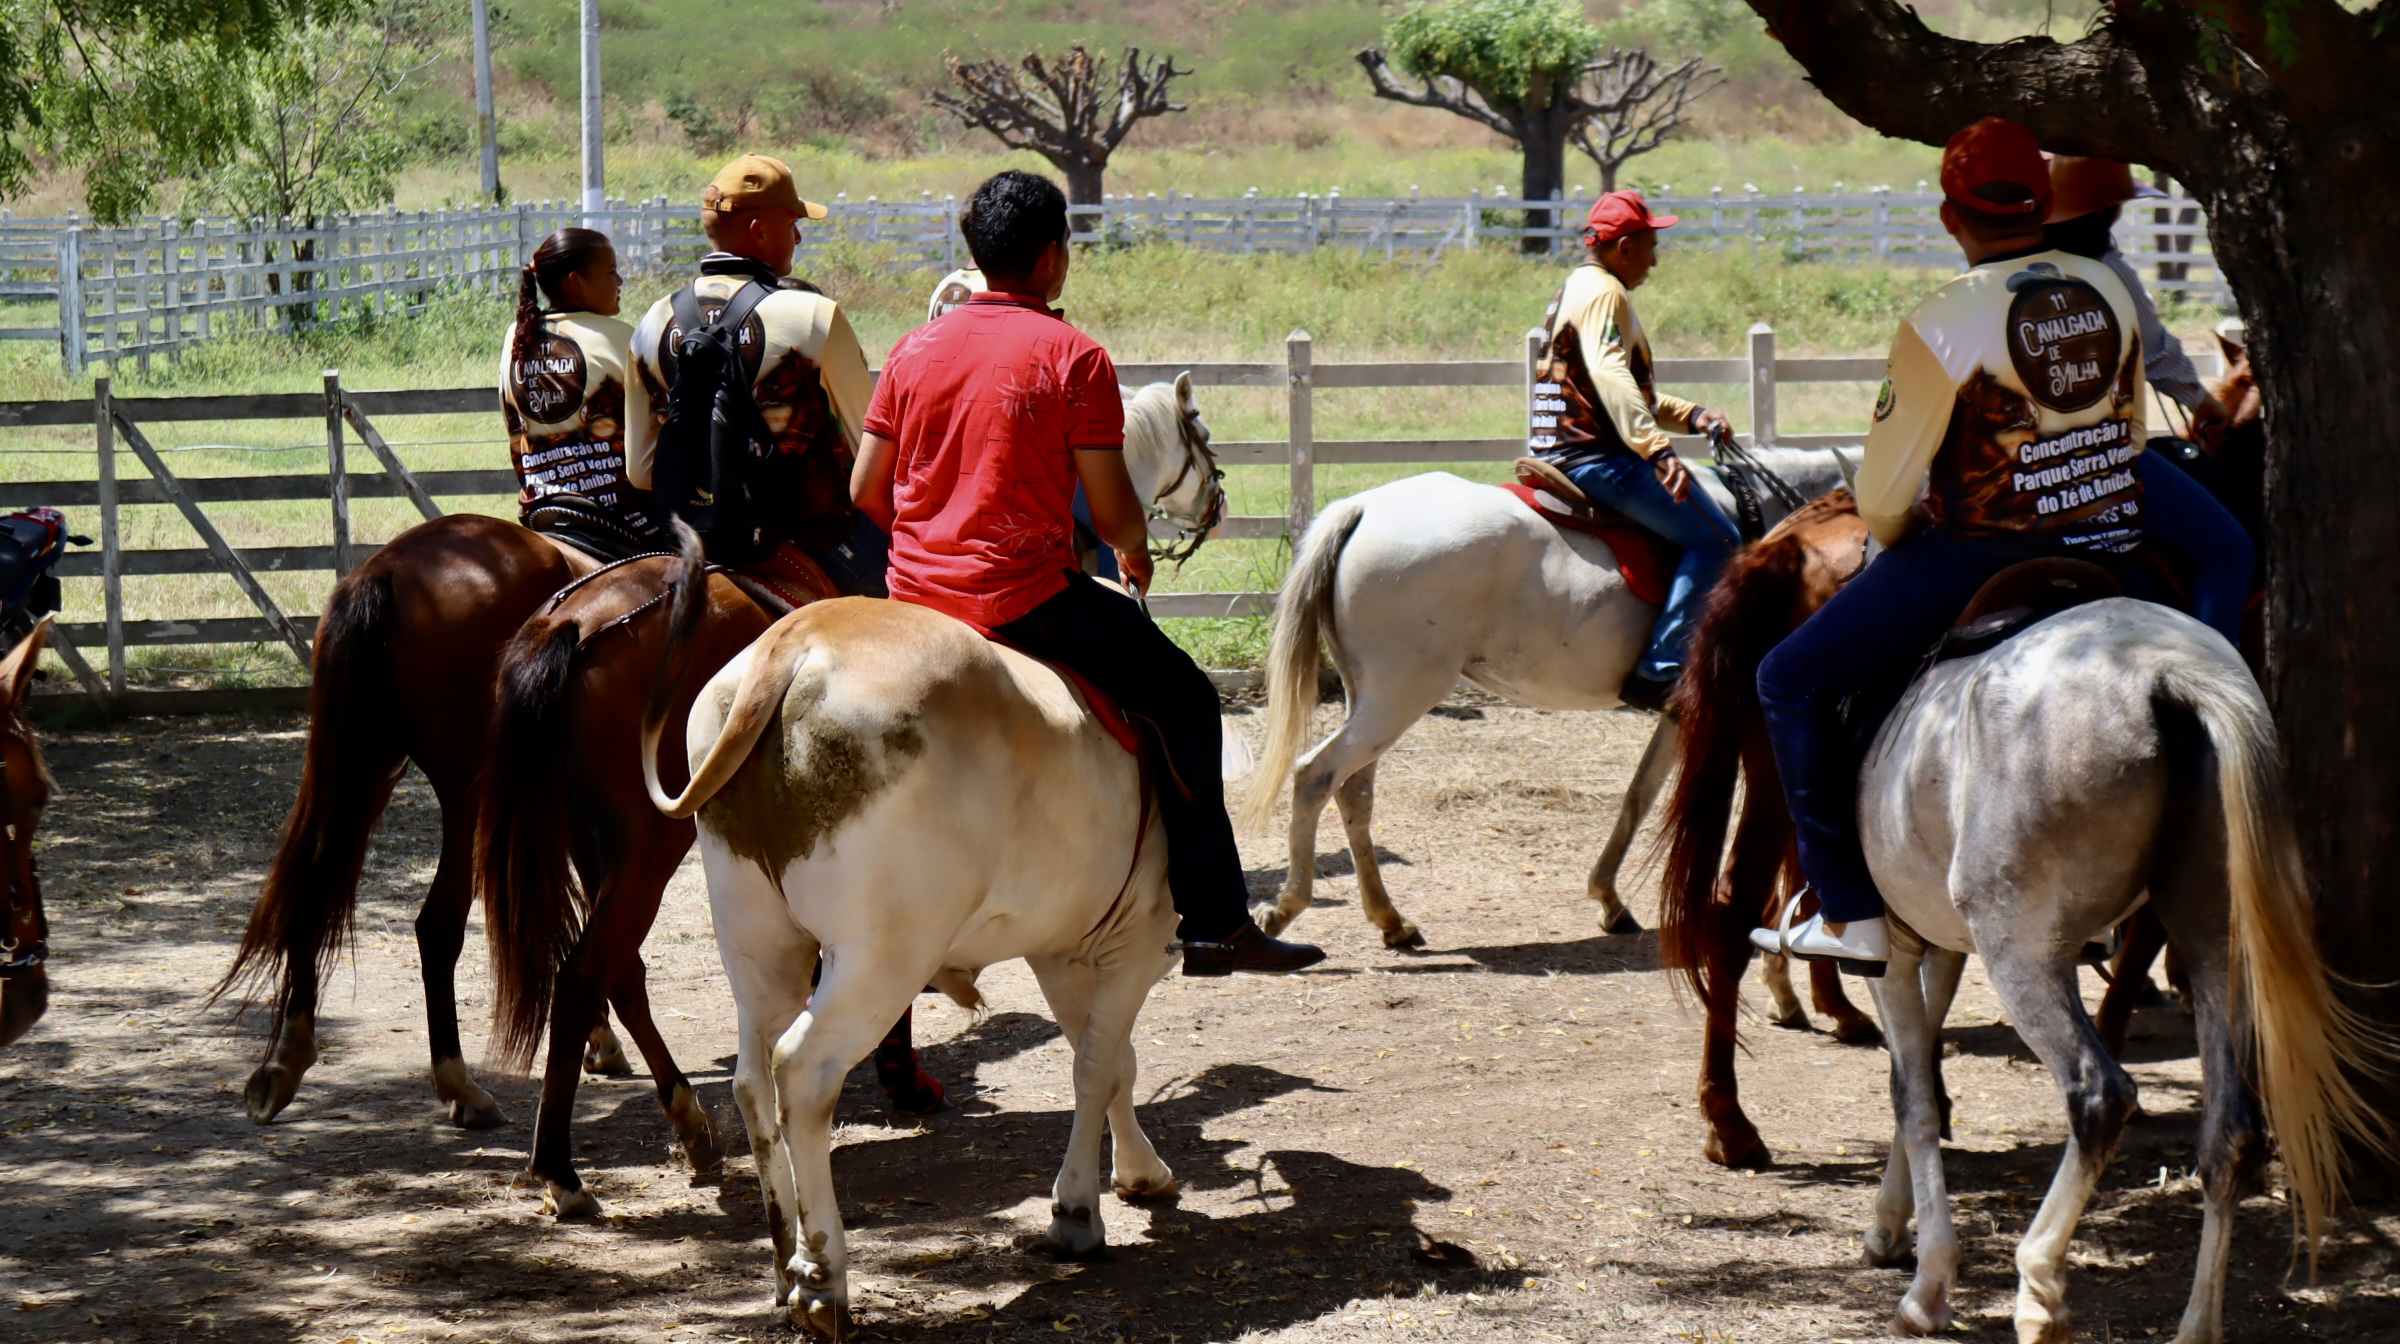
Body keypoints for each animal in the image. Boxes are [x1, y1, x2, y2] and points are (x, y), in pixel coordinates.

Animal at [476, 377, 1226, 1221]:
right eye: (1200, 434)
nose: (1216, 503)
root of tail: (577, 614)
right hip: (648, 849)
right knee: (587, 977)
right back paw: (562, 1167)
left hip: (609, 846)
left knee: (621, 974)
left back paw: (686, 1126)